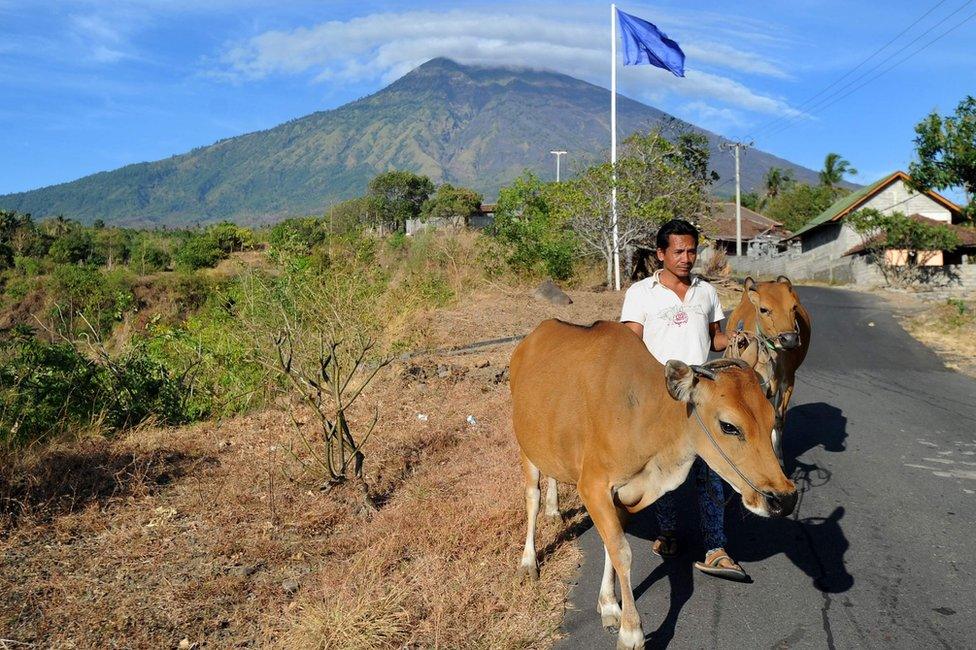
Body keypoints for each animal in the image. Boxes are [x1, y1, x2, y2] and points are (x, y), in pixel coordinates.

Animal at [728, 274, 812, 460]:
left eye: (793, 307)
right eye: (763, 309)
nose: (789, 339)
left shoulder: (788, 381)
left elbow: (778, 419)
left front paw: (778, 455)